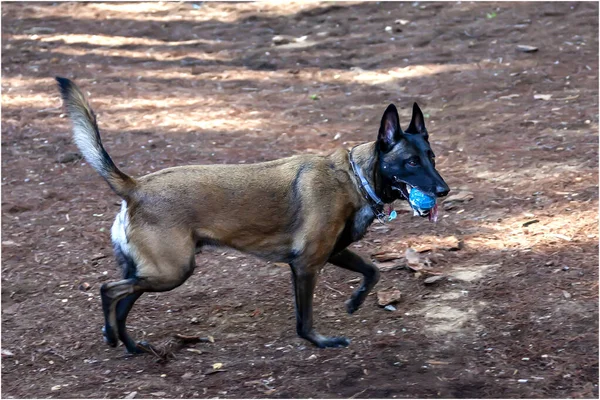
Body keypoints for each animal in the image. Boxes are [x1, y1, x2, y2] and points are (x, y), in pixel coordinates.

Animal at [57, 76, 450, 352]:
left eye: (431, 157)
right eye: (411, 162)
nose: (443, 190)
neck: (354, 177)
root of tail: (135, 185)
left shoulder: (333, 252)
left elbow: (372, 271)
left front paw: (354, 303)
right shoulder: (306, 264)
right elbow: (304, 320)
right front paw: (321, 342)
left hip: (153, 272)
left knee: (122, 302)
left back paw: (128, 344)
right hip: (172, 271)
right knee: (109, 290)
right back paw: (114, 337)